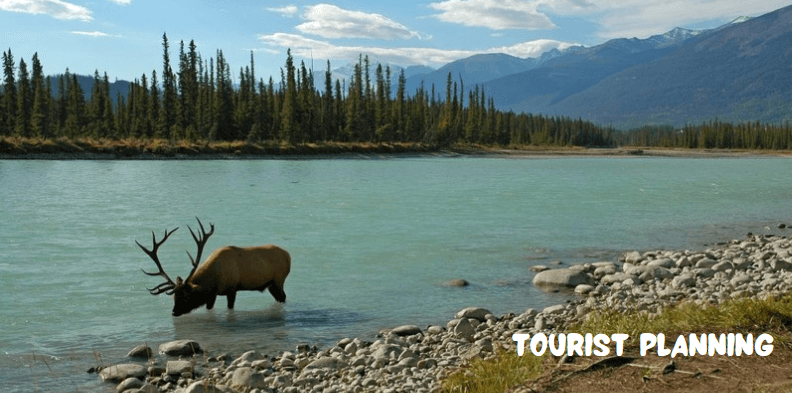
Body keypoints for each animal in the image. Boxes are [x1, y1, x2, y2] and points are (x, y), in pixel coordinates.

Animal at [138, 217, 292, 316]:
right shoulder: (212, 295)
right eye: (174, 297)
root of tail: (288, 255)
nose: (174, 312)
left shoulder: (232, 288)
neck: (213, 280)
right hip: (271, 284)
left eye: (187, 296)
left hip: (279, 280)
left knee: (283, 297)